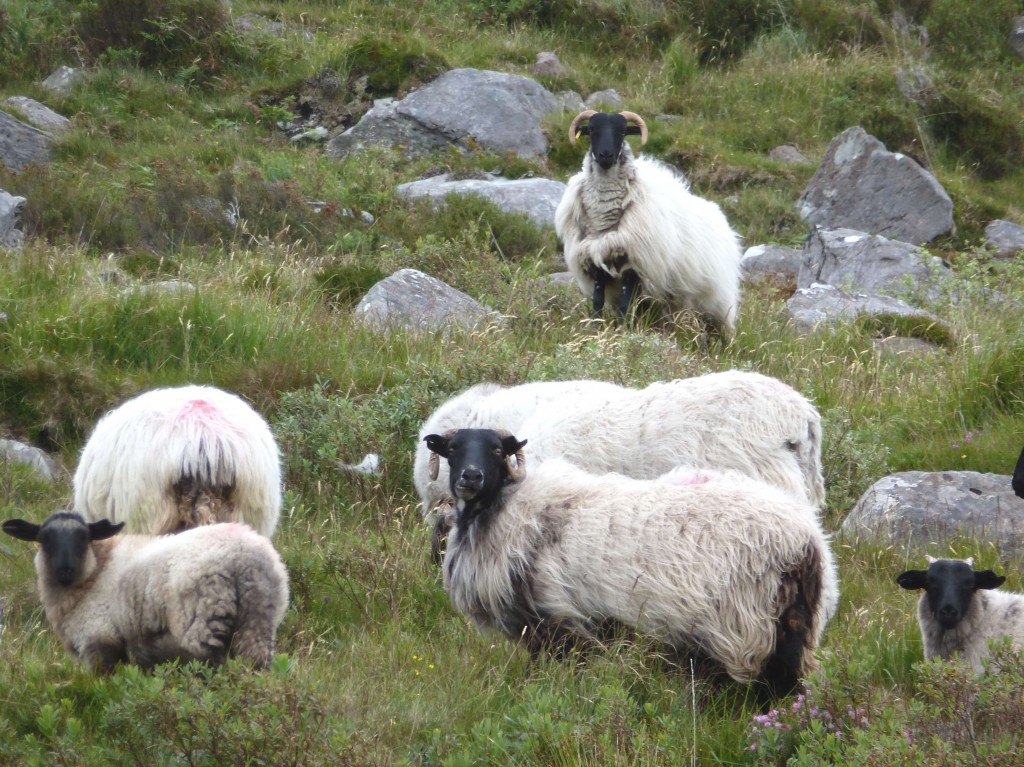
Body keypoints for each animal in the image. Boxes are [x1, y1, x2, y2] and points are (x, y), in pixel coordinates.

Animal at [2, 514, 290, 671]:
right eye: (45, 539)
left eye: (83, 537)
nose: (65, 570)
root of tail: (245, 557)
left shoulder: (99, 638)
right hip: (258, 621)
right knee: (255, 662)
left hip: (202, 622)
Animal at [428, 423, 835, 700]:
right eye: (453, 448)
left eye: (498, 450)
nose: (470, 476)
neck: (502, 510)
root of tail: (805, 541)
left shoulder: (557, 622)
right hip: (794, 627)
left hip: (743, 626)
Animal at [552, 108, 745, 335]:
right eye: (591, 130)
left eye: (622, 131)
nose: (606, 155)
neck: (603, 220)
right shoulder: (596, 259)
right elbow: (598, 302)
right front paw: (596, 329)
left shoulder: (635, 264)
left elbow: (624, 304)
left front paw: (622, 331)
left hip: (718, 303)